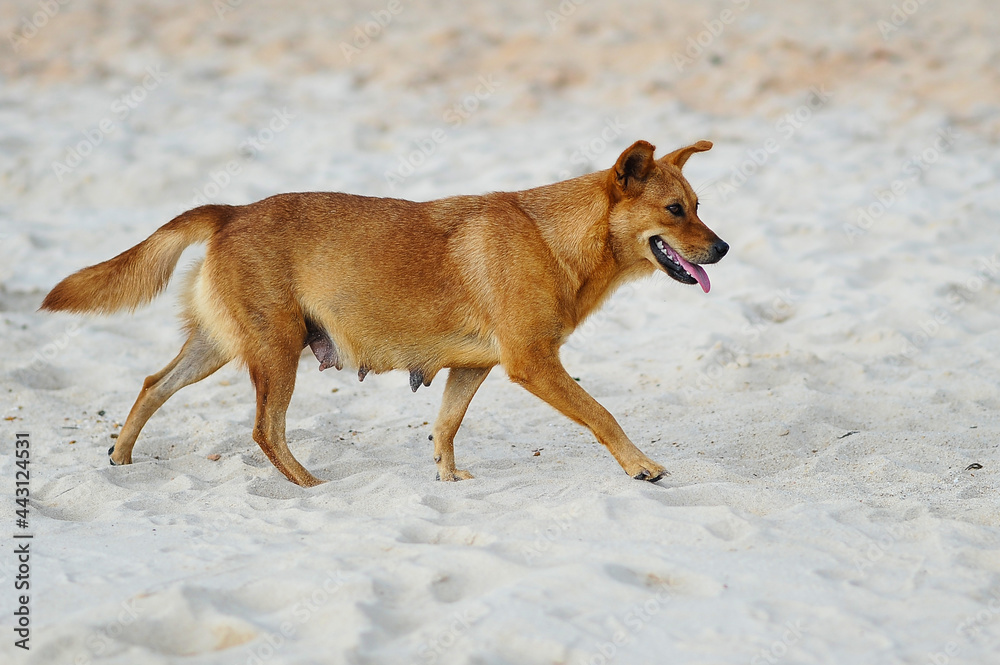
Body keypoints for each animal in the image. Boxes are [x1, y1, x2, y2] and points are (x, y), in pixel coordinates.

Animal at [41, 140, 728, 486]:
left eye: (697, 205)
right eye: (674, 211)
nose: (722, 249)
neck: (557, 236)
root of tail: (229, 211)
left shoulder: (472, 368)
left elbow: (445, 426)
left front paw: (449, 479)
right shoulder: (533, 363)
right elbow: (603, 415)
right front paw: (641, 466)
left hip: (219, 345)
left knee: (153, 384)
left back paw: (121, 458)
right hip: (277, 349)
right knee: (265, 430)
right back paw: (311, 489)